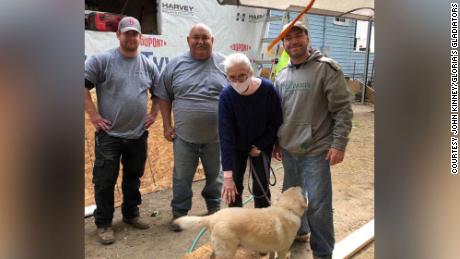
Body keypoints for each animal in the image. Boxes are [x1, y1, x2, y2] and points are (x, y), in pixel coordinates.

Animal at [172, 188, 306, 258]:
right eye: (301, 192)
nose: (300, 186)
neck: (286, 208)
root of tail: (213, 217)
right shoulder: (282, 250)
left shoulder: (273, 249)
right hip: (227, 251)